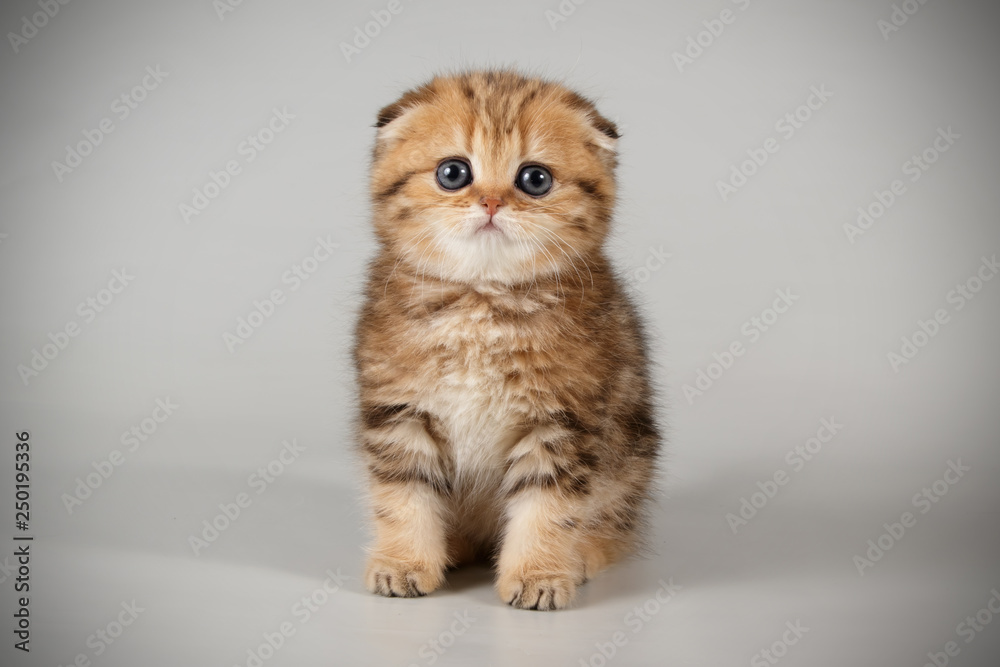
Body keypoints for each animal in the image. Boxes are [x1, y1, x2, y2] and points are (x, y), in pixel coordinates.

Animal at [356, 69, 660, 612]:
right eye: (453, 173)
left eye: (534, 179)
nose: (492, 202)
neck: (483, 301)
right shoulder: (400, 413)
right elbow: (402, 498)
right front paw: (404, 563)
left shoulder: (562, 421)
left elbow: (548, 508)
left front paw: (539, 575)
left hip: (633, 458)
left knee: (614, 525)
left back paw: (583, 554)